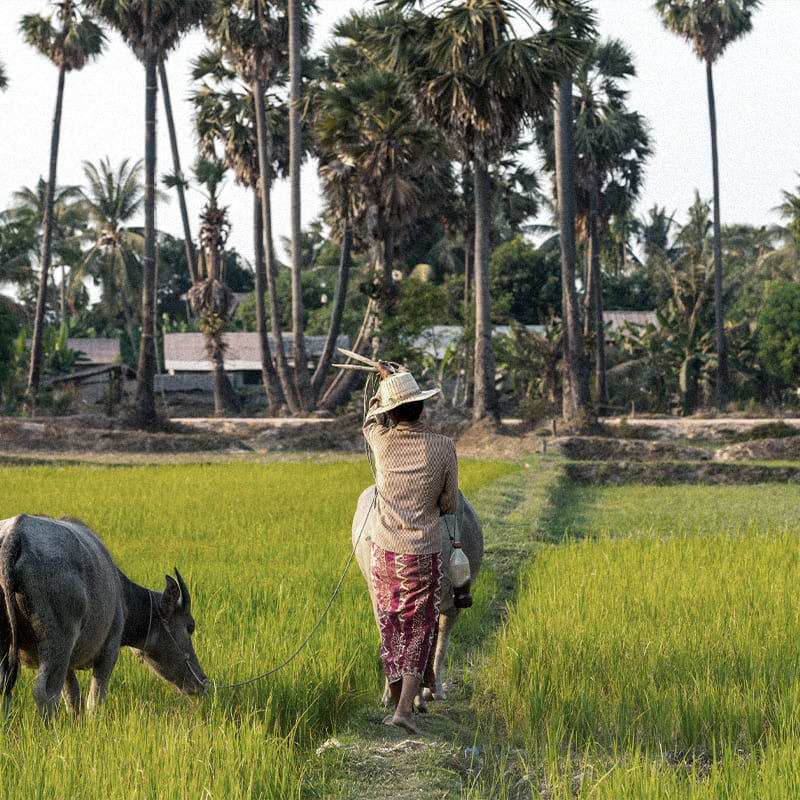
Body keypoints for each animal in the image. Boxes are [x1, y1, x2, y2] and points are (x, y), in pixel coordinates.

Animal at [0, 516, 206, 720]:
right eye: (190, 626)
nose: (202, 682)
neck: (122, 595)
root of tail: (15, 534)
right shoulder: (109, 649)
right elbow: (95, 700)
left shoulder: (69, 664)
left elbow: (75, 700)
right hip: (57, 642)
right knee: (45, 693)